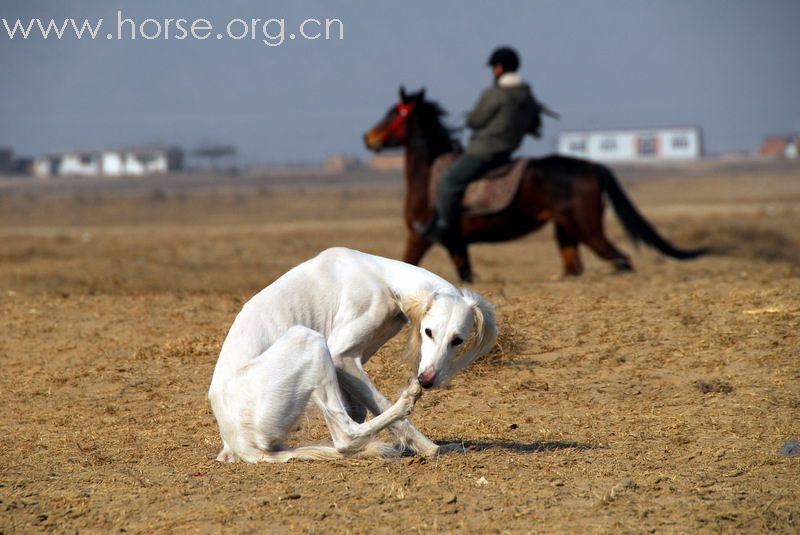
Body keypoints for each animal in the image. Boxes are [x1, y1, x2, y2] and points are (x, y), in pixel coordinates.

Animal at [208, 249, 494, 462]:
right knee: (346, 437)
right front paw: (431, 448)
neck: (382, 276)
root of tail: (241, 443)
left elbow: (359, 406)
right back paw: (407, 403)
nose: (427, 380)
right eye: (428, 331)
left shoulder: (354, 361)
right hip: (310, 340)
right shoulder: (339, 356)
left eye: (457, 341)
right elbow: (378, 404)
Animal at [362, 87, 708, 280]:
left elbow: (405, 266)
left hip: (589, 229)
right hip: (566, 232)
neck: (427, 175)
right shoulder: (458, 245)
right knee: (575, 269)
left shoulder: (421, 236)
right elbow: (466, 276)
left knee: (621, 259)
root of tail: (590, 165)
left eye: (393, 112)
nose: (368, 138)